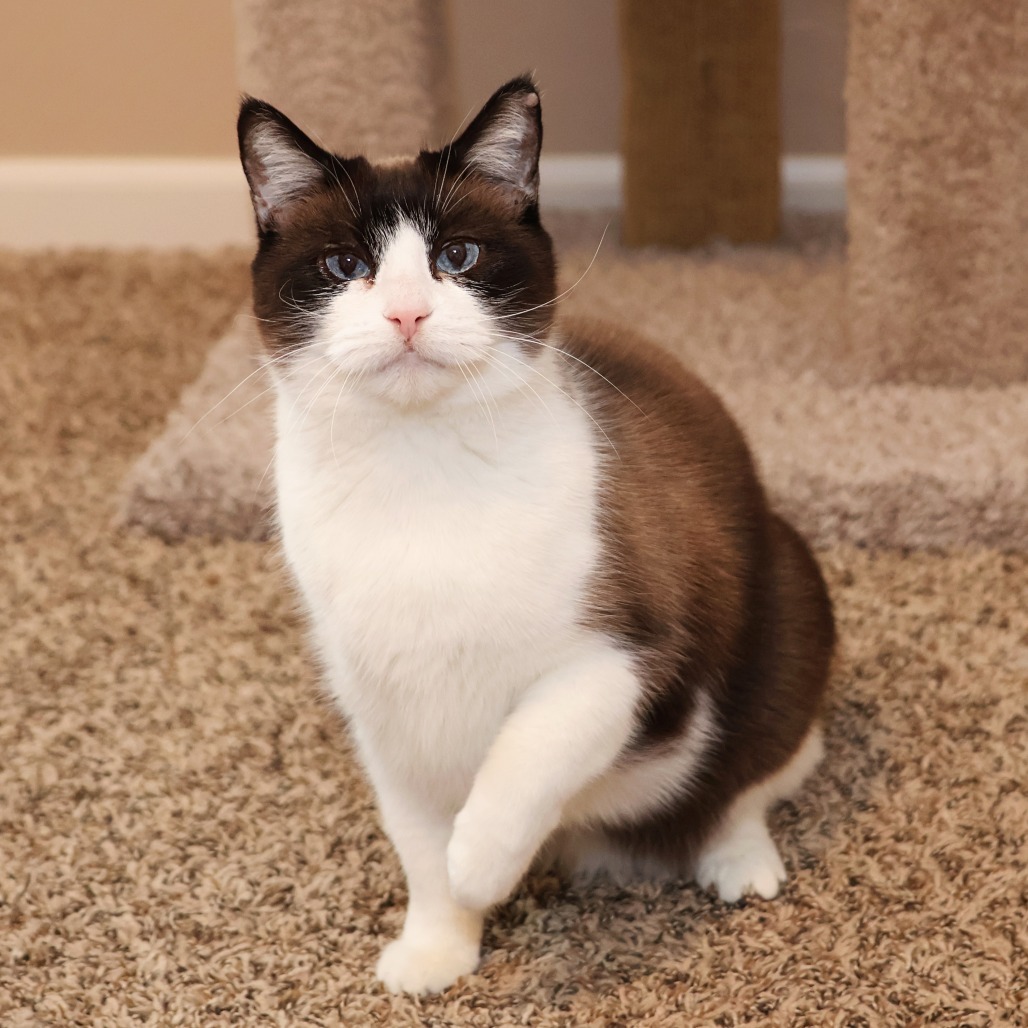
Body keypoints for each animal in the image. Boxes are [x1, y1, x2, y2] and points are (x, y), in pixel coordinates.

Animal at [235, 76, 834, 990]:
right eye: (345, 267)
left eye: (458, 259)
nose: (407, 314)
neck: (418, 475)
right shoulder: (384, 708)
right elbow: (416, 840)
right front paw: (439, 947)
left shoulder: (621, 657)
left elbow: (523, 754)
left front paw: (479, 866)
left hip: (790, 601)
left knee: (750, 774)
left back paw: (737, 860)